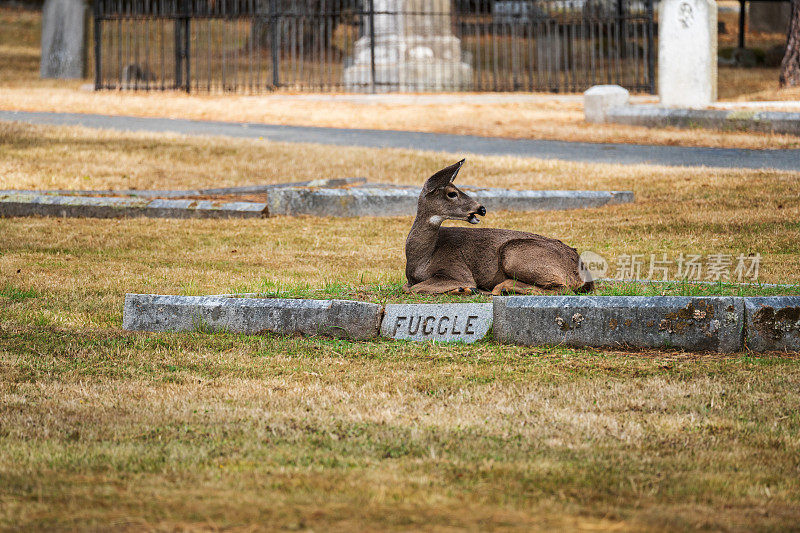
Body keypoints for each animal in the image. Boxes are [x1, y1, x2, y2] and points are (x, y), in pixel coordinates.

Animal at [400, 160, 592, 298]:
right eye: (452, 193)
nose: (481, 209)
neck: (422, 259)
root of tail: (583, 270)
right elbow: (406, 286)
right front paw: (463, 290)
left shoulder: (458, 271)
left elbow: (412, 289)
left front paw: (466, 289)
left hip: (513, 253)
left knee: (563, 288)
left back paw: (502, 288)